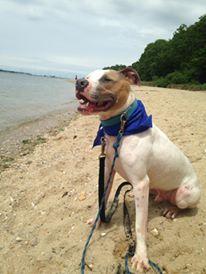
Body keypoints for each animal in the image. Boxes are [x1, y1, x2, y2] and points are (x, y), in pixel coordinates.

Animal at [75, 67, 200, 272]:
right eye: (87, 76)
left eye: (107, 79)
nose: (79, 82)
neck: (122, 127)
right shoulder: (107, 171)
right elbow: (102, 200)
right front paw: (96, 221)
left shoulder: (141, 183)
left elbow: (140, 226)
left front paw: (141, 256)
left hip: (185, 194)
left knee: (183, 205)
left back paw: (172, 210)